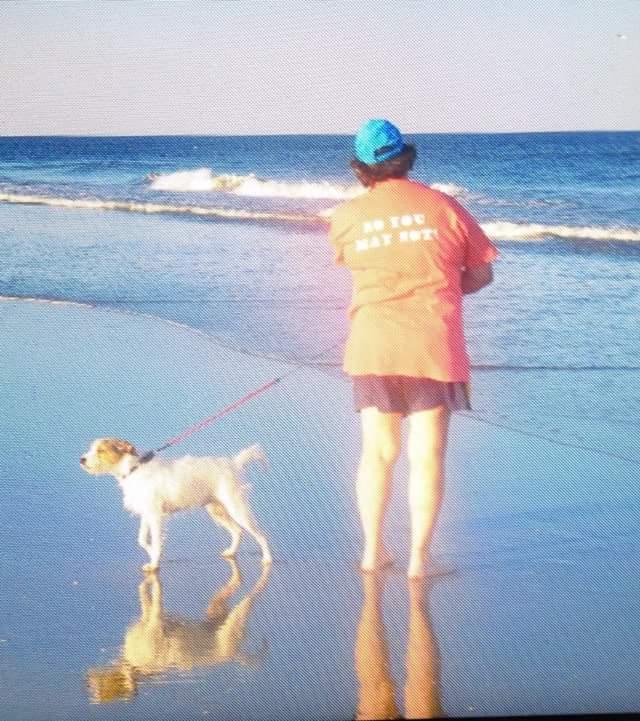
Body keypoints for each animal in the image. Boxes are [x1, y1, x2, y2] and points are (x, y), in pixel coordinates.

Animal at [80, 436, 272, 572]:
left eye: (100, 450)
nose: (82, 459)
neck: (134, 470)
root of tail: (234, 463)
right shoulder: (146, 513)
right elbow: (142, 539)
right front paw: (151, 553)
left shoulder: (156, 516)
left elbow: (156, 540)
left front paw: (154, 562)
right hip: (217, 510)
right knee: (237, 531)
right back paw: (231, 551)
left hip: (236, 508)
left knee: (261, 534)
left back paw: (267, 558)